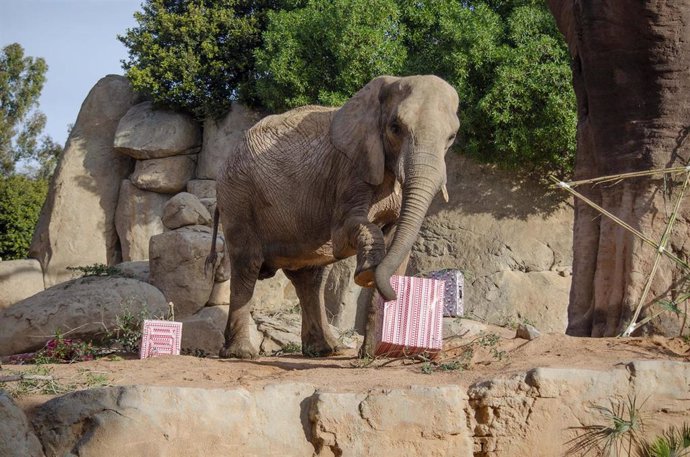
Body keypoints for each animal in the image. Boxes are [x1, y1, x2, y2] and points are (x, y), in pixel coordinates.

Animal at [207, 75, 460, 358]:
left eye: (452, 137)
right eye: (395, 128)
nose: (392, 293)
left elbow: (397, 240)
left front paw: (370, 356)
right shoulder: (350, 170)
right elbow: (343, 232)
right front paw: (367, 272)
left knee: (310, 278)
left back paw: (325, 350)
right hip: (237, 198)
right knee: (247, 265)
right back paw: (240, 353)